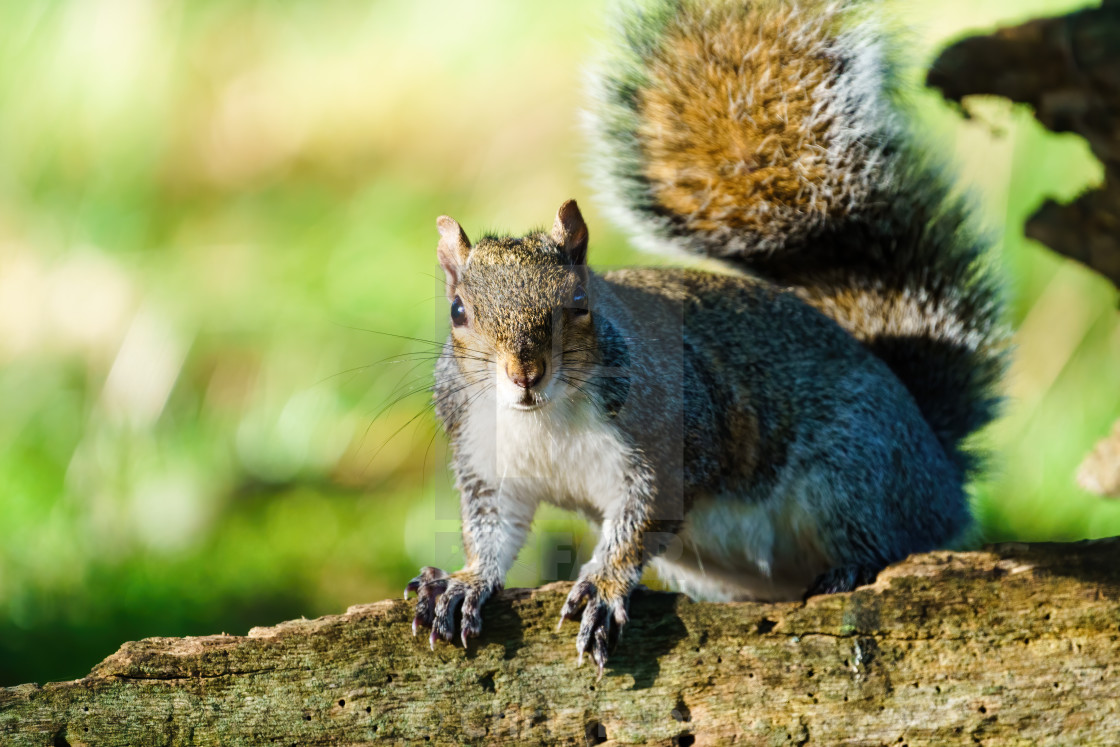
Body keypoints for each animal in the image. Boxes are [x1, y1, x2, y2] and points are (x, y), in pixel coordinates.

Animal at [403, 0, 1008, 676]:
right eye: (458, 311)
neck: (544, 418)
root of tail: (940, 465)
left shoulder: (672, 439)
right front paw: (464, 582)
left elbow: (640, 525)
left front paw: (603, 587)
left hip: (856, 469)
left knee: (887, 538)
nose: (524, 374)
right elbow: (492, 532)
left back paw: (849, 569)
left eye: (581, 304)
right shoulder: (486, 458)